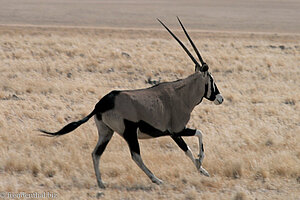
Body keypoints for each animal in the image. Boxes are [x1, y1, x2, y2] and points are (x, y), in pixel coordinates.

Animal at [38, 17, 223, 189]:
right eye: (211, 79)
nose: (220, 98)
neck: (181, 93)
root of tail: (101, 104)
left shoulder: (173, 131)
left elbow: (195, 140)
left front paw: (202, 168)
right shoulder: (175, 131)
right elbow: (193, 142)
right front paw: (201, 166)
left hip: (106, 132)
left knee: (96, 154)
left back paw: (101, 183)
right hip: (129, 133)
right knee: (135, 156)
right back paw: (156, 179)